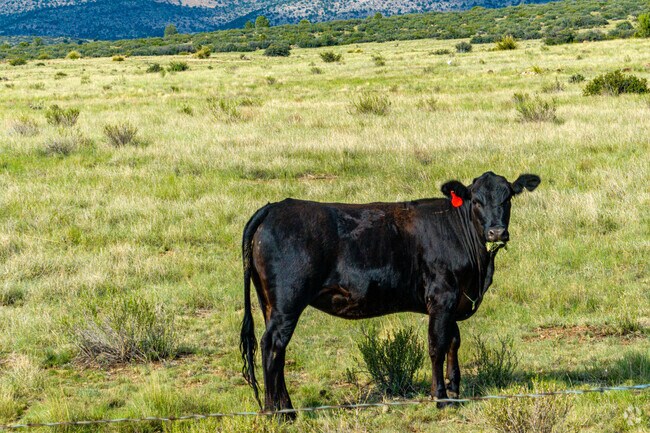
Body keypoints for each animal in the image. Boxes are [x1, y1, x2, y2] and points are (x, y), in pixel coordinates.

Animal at [240, 171, 540, 416]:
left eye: (508, 198)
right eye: (476, 201)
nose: (496, 232)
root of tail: (275, 207)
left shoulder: (455, 299)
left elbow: (454, 341)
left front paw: (454, 390)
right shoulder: (442, 297)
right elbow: (437, 345)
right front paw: (440, 397)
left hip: (269, 304)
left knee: (276, 351)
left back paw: (285, 409)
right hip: (288, 303)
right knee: (272, 346)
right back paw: (278, 413)